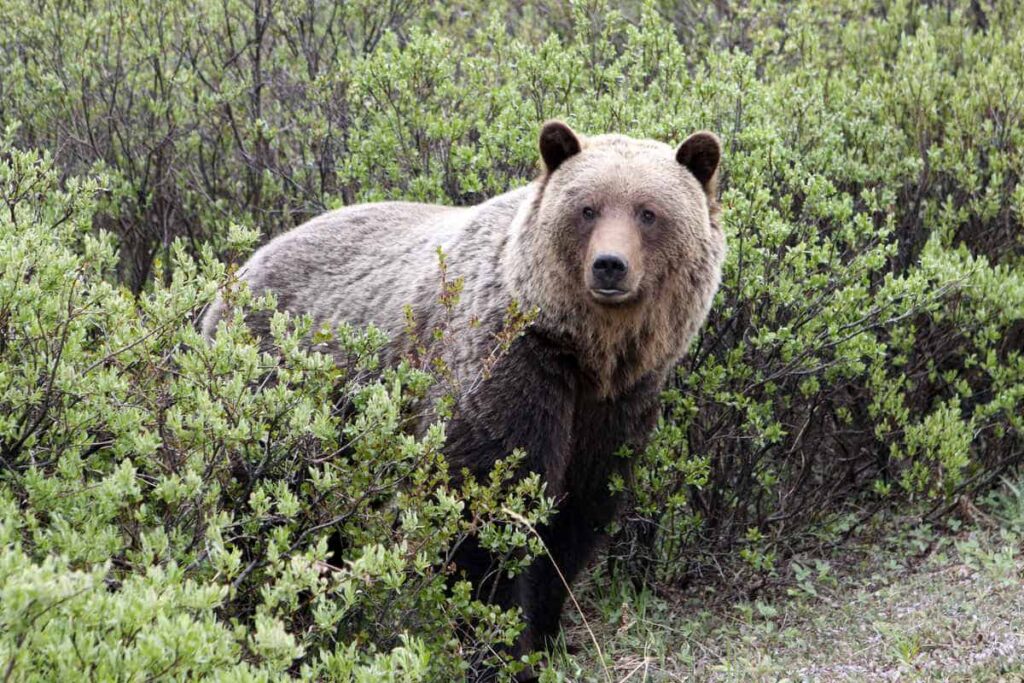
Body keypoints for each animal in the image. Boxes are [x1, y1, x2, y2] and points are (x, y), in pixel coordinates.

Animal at [201, 122, 729, 671]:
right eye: (587, 209)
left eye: (649, 212)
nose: (610, 266)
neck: (585, 353)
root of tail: (237, 272)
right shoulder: (506, 366)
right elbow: (482, 507)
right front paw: (497, 646)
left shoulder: (617, 402)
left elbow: (576, 516)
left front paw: (548, 635)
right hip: (279, 395)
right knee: (266, 503)